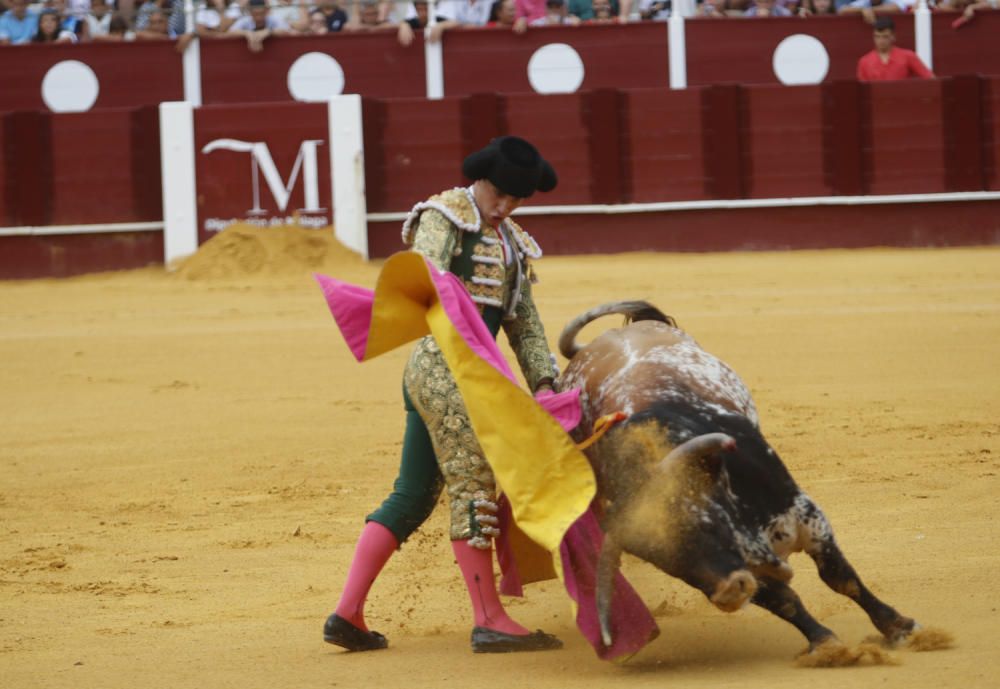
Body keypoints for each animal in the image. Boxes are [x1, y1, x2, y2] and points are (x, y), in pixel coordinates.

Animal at [560, 300, 916, 652]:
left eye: (707, 523)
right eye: (663, 561)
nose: (729, 592)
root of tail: (603, 338)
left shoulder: (808, 516)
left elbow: (842, 579)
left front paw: (898, 627)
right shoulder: (748, 569)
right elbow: (784, 601)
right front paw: (824, 644)